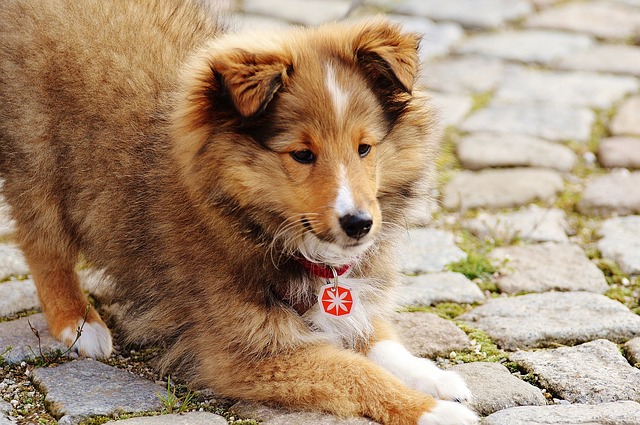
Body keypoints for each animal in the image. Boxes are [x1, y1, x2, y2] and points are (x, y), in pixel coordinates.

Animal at [0, 0, 478, 422]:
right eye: (302, 154)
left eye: (365, 148)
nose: (359, 224)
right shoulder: (245, 352)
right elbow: (353, 371)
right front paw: (434, 412)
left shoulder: (346, 299)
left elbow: (377, 339)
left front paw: (435, 377)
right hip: (36, 156)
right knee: (41, 243)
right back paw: (80, 325)